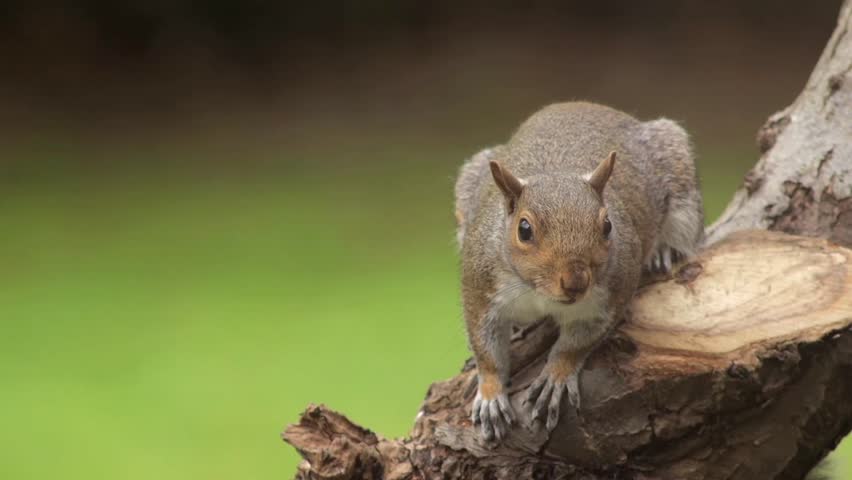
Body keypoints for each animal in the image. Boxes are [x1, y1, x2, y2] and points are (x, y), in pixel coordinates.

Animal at [453, 102, 704, 441]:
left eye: (608, 225)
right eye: (524, 229)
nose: (576, 283)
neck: (537, 292)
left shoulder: (610, 296)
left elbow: (576, 343)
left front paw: (556, 376)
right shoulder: (479, 287)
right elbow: (486, 348)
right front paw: (491, 393)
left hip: (679, 178)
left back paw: (665, 251)